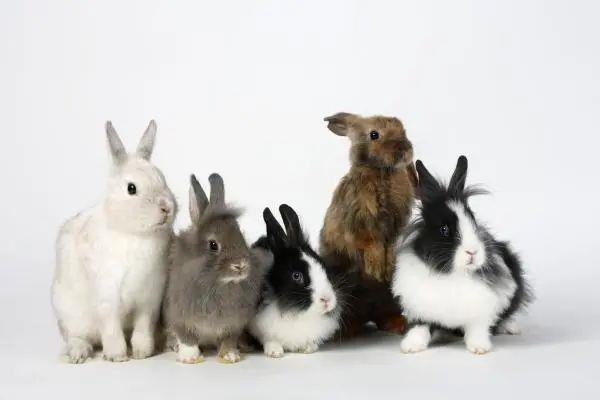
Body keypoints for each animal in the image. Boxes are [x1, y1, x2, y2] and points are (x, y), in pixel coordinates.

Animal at [51, 120, 176, 364]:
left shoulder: (149, 300)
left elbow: (142, 328)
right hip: (68, 315)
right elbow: (111, 328)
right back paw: (79, 354)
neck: (135, 234)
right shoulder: (107, 297)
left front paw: (141, 353)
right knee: (76, 337)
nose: (166, 208)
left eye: (163, 179)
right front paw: (117, 356)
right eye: (131, 188)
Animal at [163, 174, 270, 364]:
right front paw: (190, 357)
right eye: (213, 245)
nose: (241, 265)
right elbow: (186, 337)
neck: (217, 284)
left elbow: (229, 339)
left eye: (240, 236)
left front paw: (230, 356)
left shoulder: (234, 323)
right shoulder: (178, 315)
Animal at [248, 205, 341, 358]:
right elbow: (268, 338)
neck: (296, 311)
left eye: (324, 267)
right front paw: (275, 351)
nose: (327, 300)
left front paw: (309, 348)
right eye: (296, 276)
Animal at [319, 112, 417, 335]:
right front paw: (375, 268)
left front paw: (387, 265)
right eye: (374, 134)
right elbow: (370, 242)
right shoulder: (360, 222)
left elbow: (390, 244)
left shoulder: (395, 227)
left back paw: (398, 324)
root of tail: (367, 316)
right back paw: (348, 330)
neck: (383, 172)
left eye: (404, 130)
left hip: (389, 299)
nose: (405, 150)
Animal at [392, 155, 533, 355]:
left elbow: (477, 328)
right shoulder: (419, 307)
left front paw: (479, 348)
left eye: (473, 220)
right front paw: (411, 347)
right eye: (444, 229)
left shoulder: (480, 308)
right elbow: (419, 327)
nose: (472, 251)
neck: (452, 273)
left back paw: (511, 328)